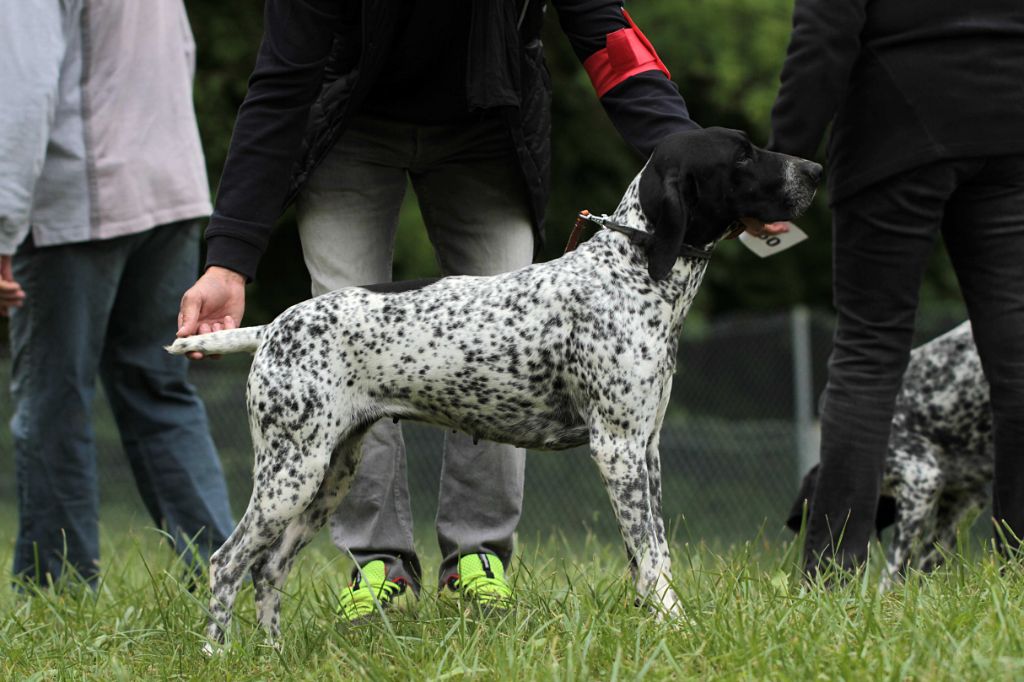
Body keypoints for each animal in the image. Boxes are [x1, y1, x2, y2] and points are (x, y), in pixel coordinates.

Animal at [169, 127, 823, 643]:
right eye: (742, 155)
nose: (816, 171)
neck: (631, 274)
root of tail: (273, 326)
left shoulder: (647, 451)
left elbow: (647, 557)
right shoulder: (617, 451)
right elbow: (655, 559)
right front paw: (675, 626)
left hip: (327, 476)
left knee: (268, 570)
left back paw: (273, 656)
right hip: (290, 474)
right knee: (226, 564)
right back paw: (219, 656)